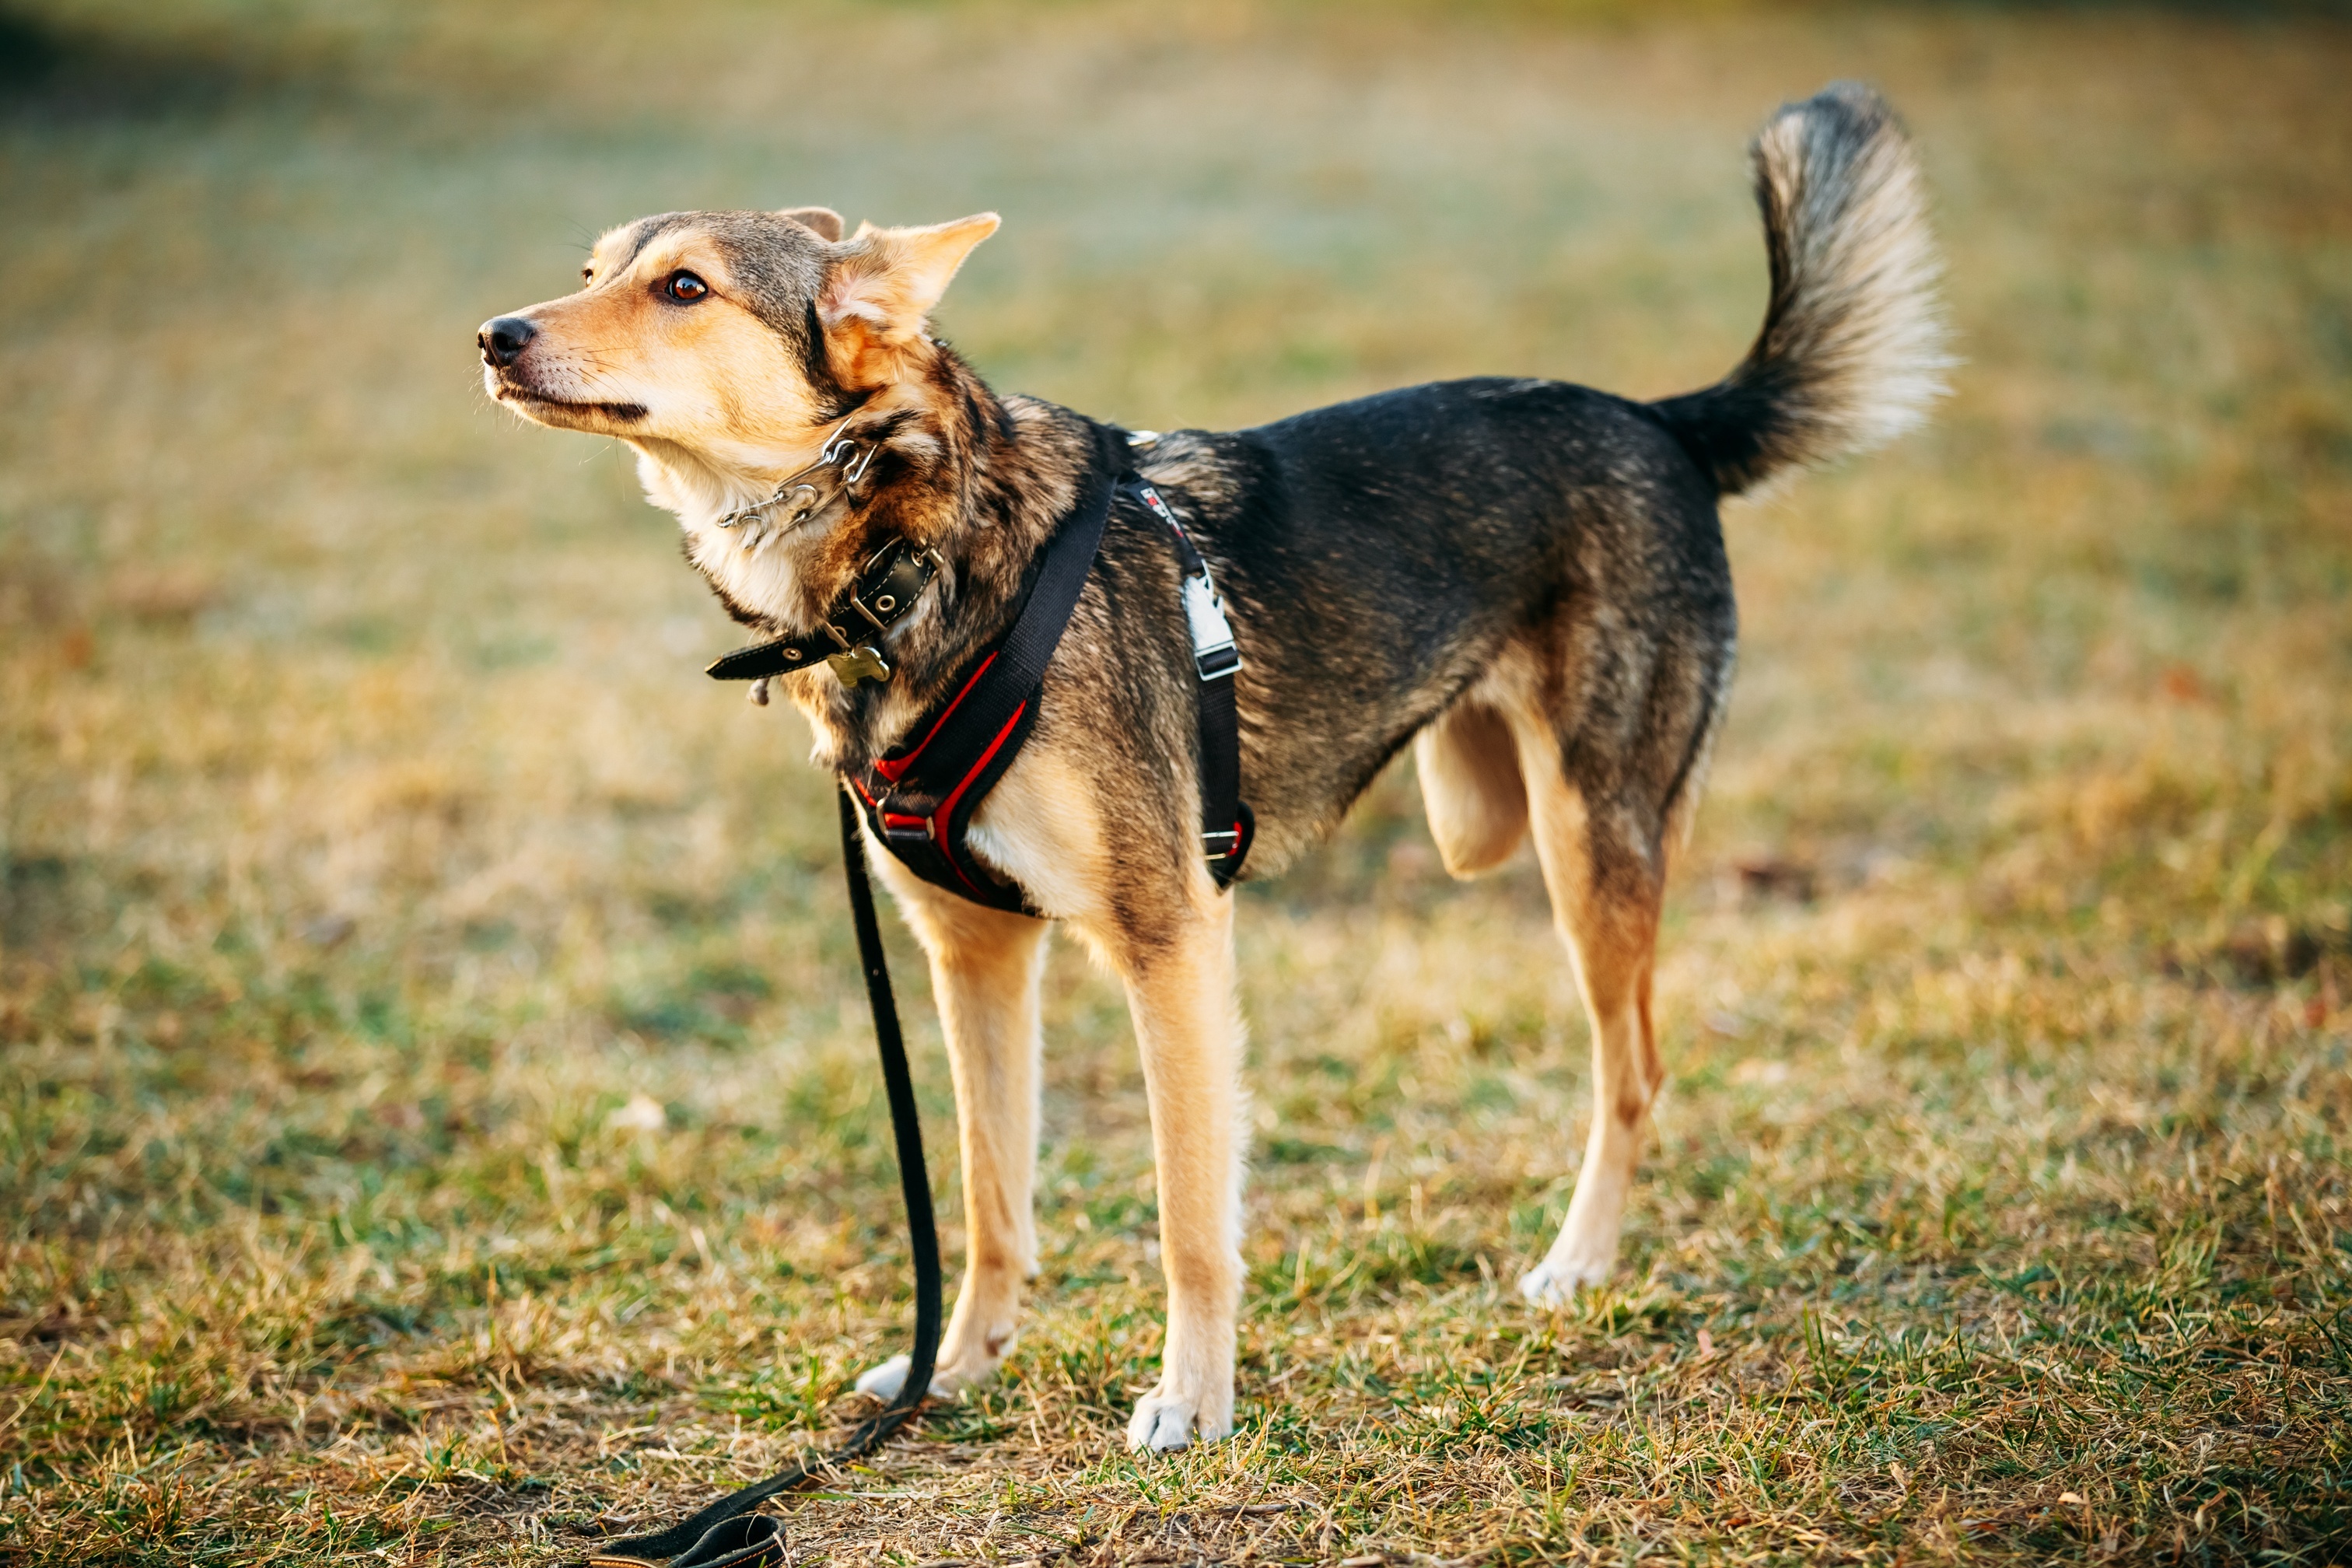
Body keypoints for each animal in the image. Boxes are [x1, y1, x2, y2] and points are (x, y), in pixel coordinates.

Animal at [477, 82, 1947, 1457]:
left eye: (684, 288)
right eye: (595, 265)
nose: (493, 335)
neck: (911, 553)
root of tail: (1661, 421)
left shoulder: (1169, 937)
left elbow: (1190, 1214)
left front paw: (1192, 1403)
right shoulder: (972, 953)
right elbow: (988, 1197)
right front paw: (957, 1368)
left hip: (1592, 841)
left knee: (1630, 1068)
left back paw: (1575, 1265)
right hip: (1483, 816)